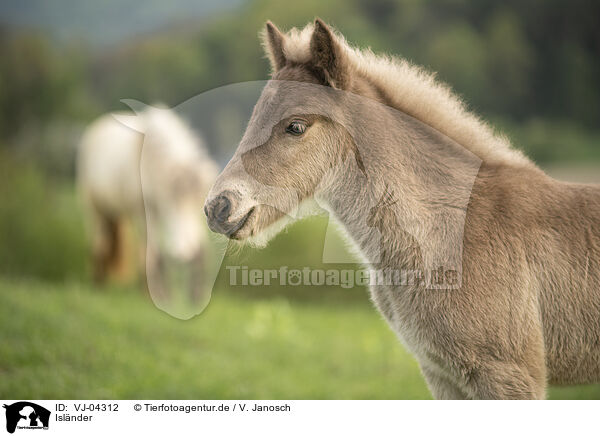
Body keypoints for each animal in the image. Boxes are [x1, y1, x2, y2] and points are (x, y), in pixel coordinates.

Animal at [77, 105, 218, 302]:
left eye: (199, 202)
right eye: (170, 200)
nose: (183, 253)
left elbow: (200, 251)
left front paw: (194, 295)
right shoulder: (145, 213)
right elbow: (153, 254)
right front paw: (159, 296)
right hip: (95, 211)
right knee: (100, 247)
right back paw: (99, 286)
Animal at [206, 18, 600, 398]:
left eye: (296, 126)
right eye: (254, 119)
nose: (218, 207)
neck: (450, 231)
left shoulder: (510, 375)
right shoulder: (442, 375)